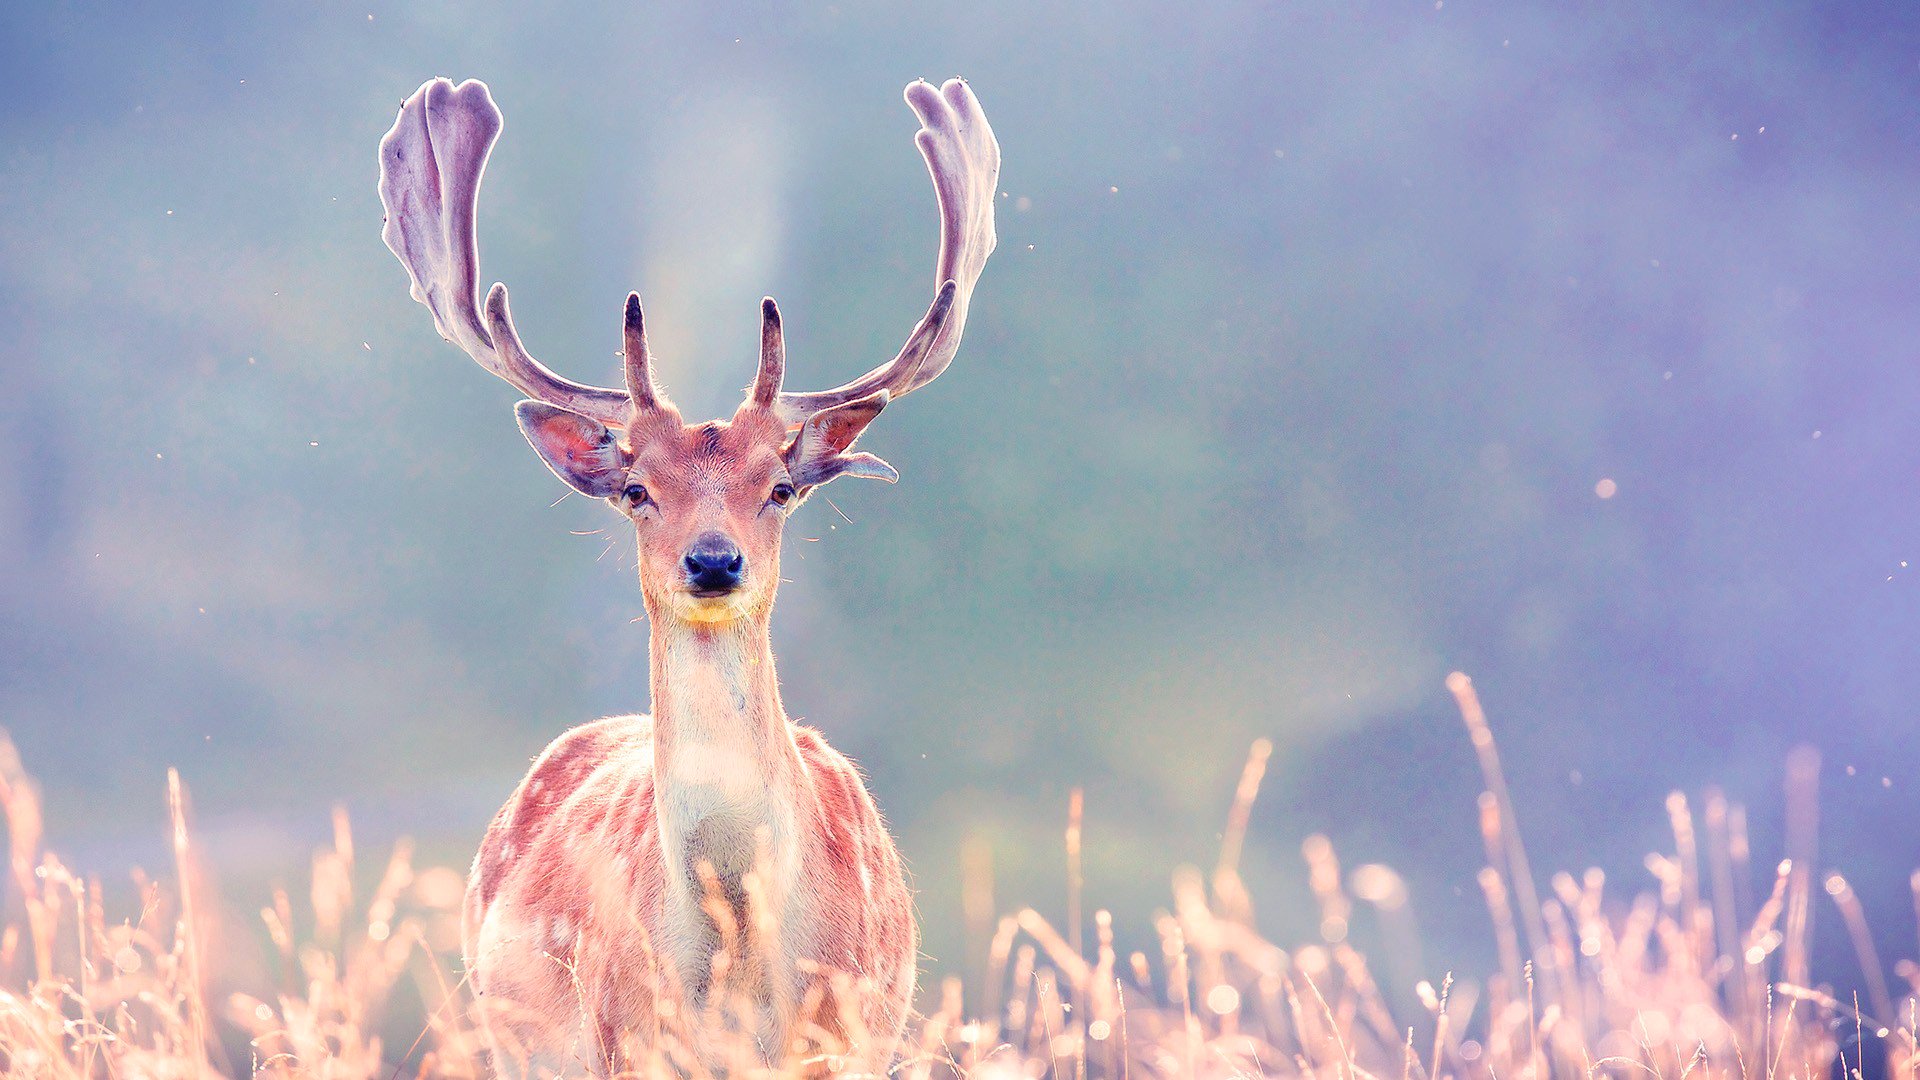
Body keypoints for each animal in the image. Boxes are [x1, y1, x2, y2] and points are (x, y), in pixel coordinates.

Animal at [375, 75, 998, 1077]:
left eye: (780, 486)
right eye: (637, 489)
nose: (713, 560)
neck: (741, 959)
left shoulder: (855, 1031)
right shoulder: (628, 1036)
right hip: (508, 1034)